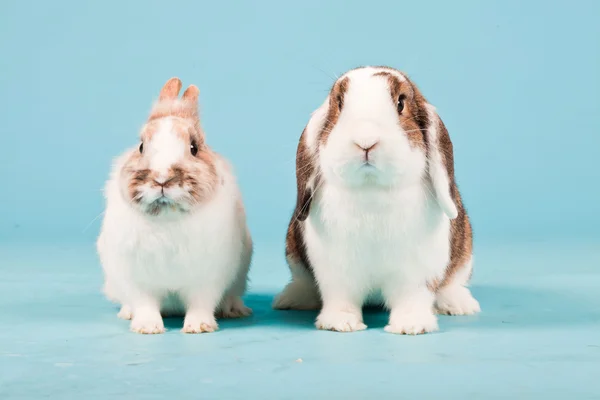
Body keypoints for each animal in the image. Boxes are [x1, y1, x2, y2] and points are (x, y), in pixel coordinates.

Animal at [97, 76, 252, 332]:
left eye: (194, 148)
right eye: (141, 146)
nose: (162, 178)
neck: (167, 219)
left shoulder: (208, 278)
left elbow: (201, 303)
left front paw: (199, 327)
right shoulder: (137, 280)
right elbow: (145, 304)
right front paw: (147, 328)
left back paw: (235, 310)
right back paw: (127, 313)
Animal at [274, 66, 480, 334]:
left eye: (401, 103)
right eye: (339, 103)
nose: (366, 141)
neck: (371, 189)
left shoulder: (417, 273)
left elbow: (413, 298)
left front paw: (411, 326)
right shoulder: (336, 271)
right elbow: (340, 297)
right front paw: (340, 324)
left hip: (465, 253)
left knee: (452, 284)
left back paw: (460, 305)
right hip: (294, 253)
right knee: (303, 283)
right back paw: (290, 299)